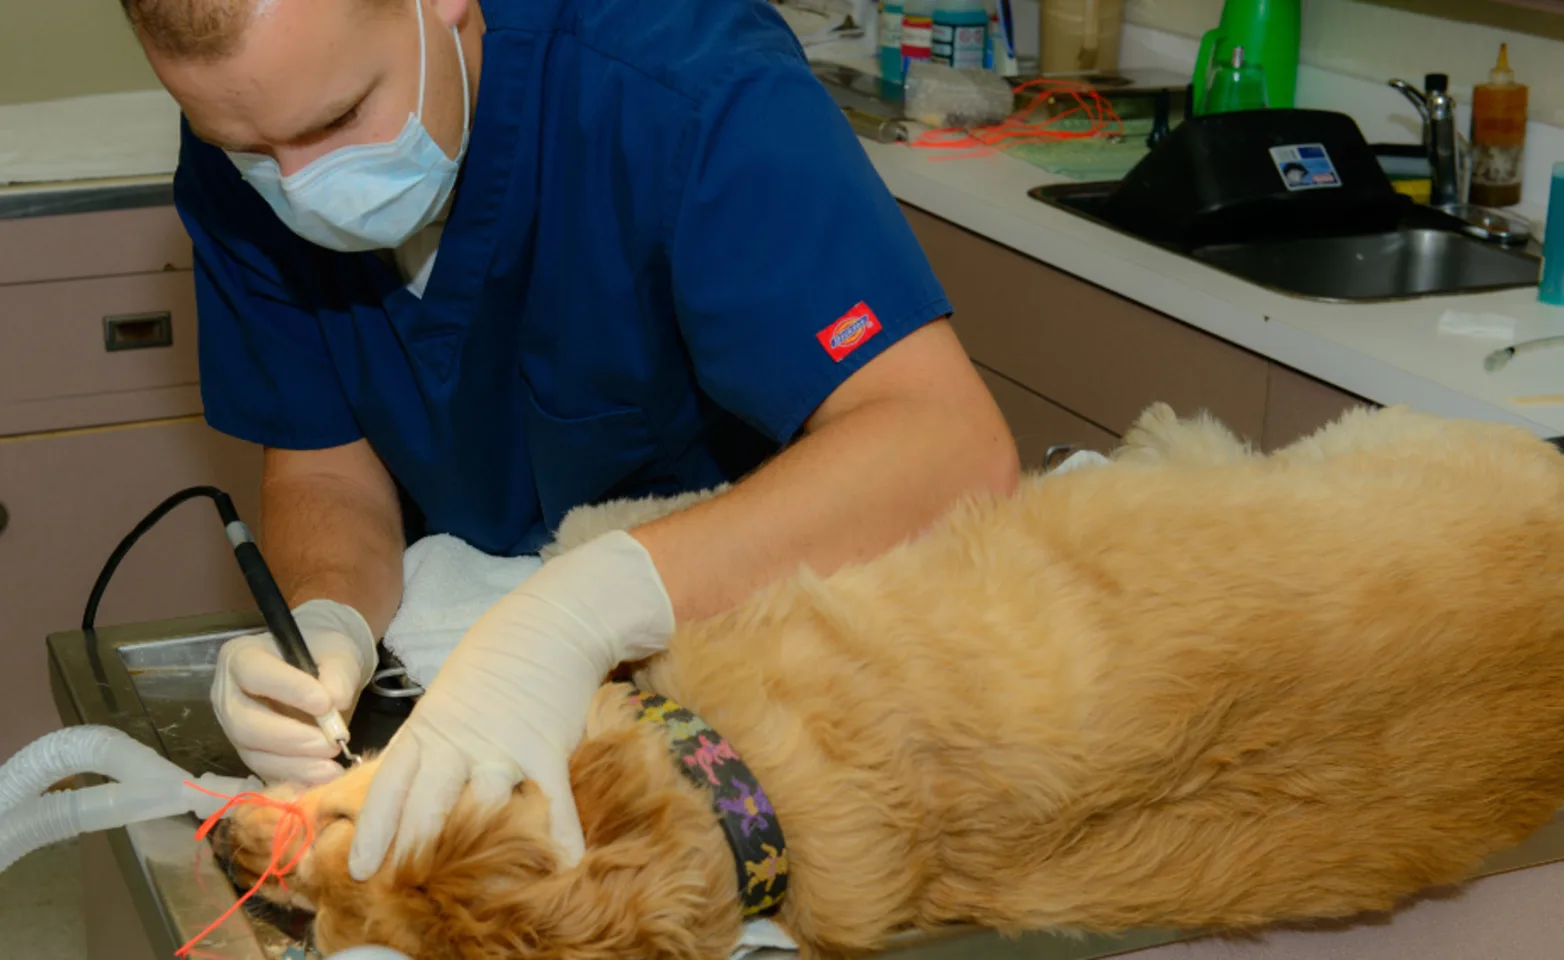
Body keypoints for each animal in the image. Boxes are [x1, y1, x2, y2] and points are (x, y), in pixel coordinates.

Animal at [214, 403, 1564, 960]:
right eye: (328, 924)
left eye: (346, 814)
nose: (226, 847)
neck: (742, 796)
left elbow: (615, 529)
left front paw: (581, 546)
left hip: (1365, 435)